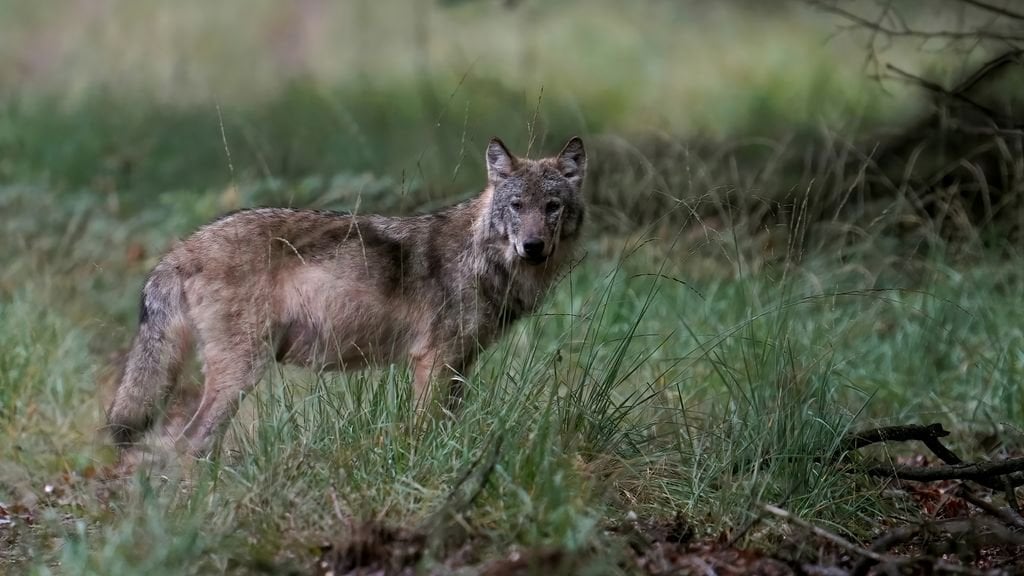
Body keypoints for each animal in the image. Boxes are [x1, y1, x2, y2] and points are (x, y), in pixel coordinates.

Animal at [106, 136, 586, 455]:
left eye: (552, 207)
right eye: (517, 206)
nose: (533, 247)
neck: (481, 258)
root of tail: (183, 248)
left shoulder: (461, 364)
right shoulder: (433, 360)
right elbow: (424, 429)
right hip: (241, 372)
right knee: (189, 444)